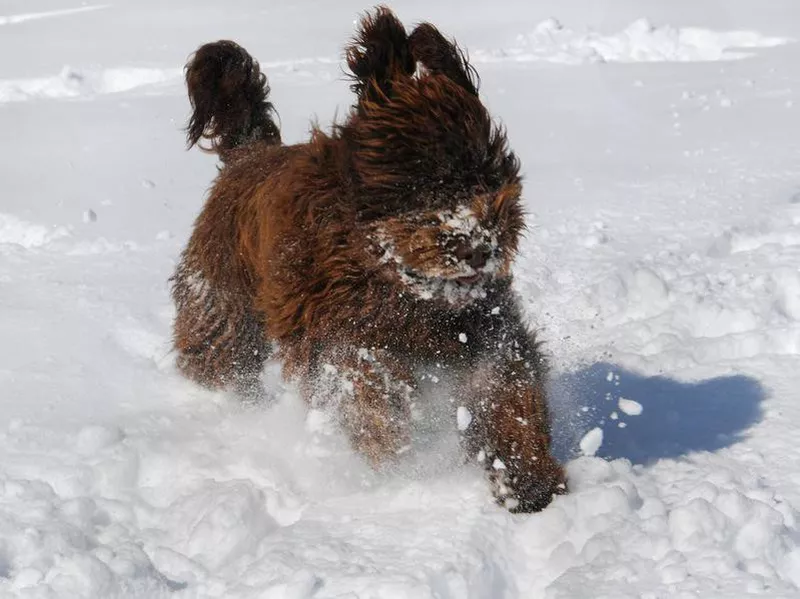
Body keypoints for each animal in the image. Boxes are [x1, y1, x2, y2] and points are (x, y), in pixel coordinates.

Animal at [172, 7, 564, 512]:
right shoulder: (329, 326)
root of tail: (249, 154)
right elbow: (363, 380)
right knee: (219, 348)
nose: (478, 247)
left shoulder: (482, 327)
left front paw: (526, 479)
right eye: (427, 183)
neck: (391, 273)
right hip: (222, 293)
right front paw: (392, 448)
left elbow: (505, 386)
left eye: (486, 178)